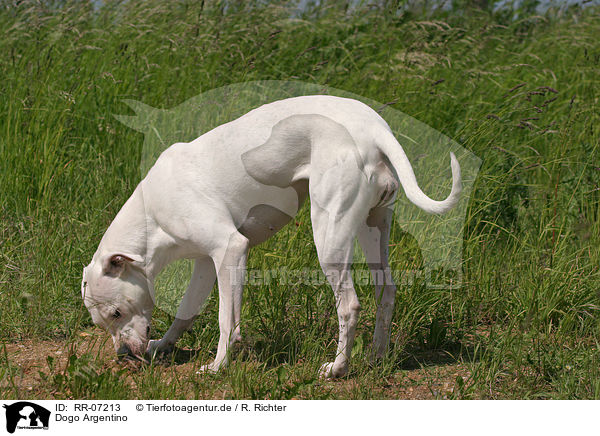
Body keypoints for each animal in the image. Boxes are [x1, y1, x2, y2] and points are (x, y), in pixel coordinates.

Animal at [82, 95, 462, 378]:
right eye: (102, 323)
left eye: (116, 313)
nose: (122, 354)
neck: (153, 211)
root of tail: (373, 127)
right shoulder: (206, 262)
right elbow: (186, 312)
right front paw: (163, 345)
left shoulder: (231, 250)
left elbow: (226, 321)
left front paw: (218, 366)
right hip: (373, 228)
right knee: (387, 292)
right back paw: (375, 358)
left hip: (330, 237)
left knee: (349, 305)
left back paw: (338, 368)